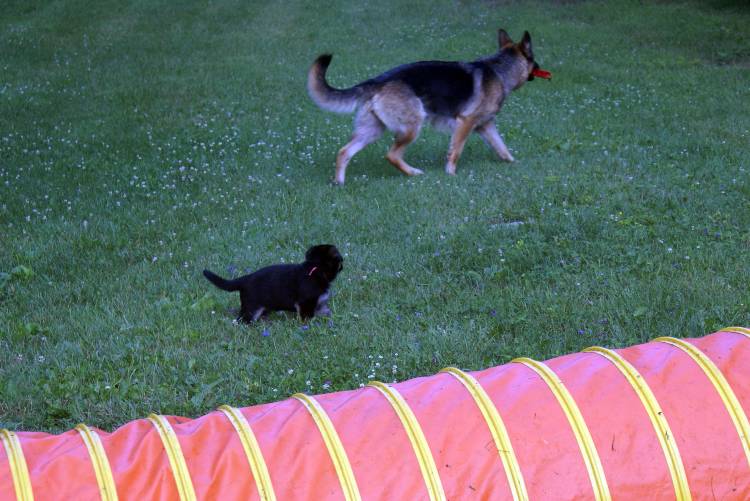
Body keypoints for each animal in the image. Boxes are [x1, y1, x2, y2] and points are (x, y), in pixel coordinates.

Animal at [203, 244, 344, 322]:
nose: (343, 265)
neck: (314, 269)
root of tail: (246, 278)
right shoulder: (305, 303)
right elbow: (307, 317)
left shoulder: (320, 303)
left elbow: (326, 312)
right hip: (251, 308)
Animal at [306, 28, 548, 184]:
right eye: (534, 59)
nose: (541, 68)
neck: (499, 70)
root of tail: (376, 81)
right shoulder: (465, 123)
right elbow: (455, 152)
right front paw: (451, 175)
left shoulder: (486, 126)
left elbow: (502, 148)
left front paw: (514, 164)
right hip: (412, 126)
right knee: (391, 155)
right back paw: (413, 173)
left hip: (372, 130)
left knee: (344, 152)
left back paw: (339, 182)